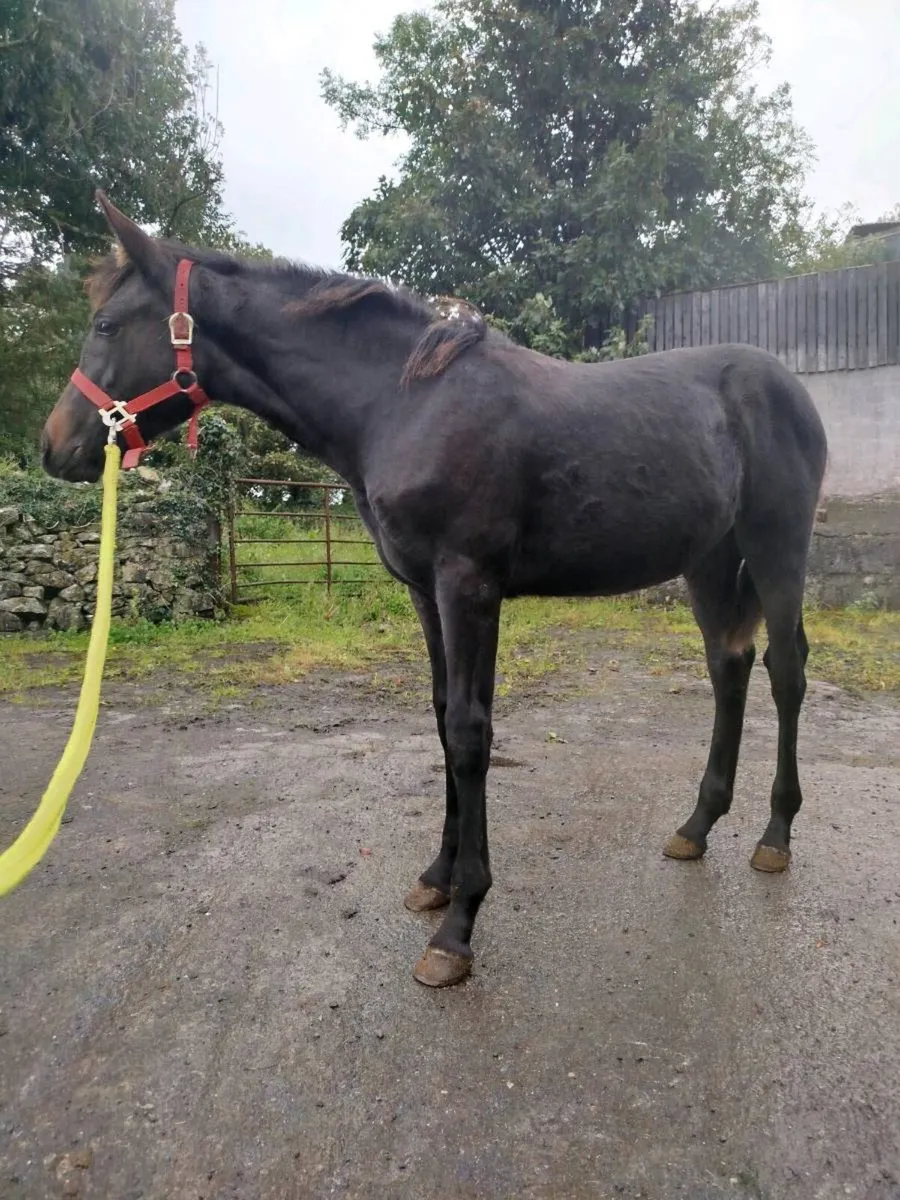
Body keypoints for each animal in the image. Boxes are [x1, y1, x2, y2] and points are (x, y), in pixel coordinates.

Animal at [42, 193, 828, 988]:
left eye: (107, 325)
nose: (56, 445)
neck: (403, 403)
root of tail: (786, 387)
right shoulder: (425, 592)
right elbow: (443, 717)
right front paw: (437, 878)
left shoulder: (468, 585)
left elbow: (471, 733)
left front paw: (459, 926)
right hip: (710, 562)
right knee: (729, 668)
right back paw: (698, 826)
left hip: (777, 546)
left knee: (785, 671)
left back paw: (775, 835)